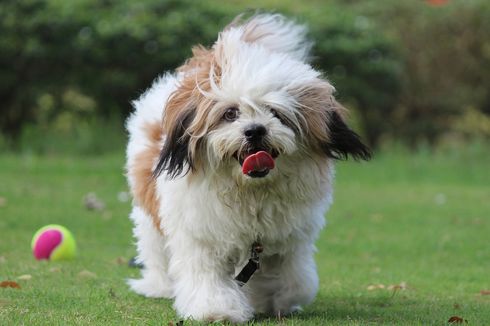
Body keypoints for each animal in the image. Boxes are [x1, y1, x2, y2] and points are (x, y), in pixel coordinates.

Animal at [124, 13, 370, 324]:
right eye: (230, 113)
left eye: (276, 113)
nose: (255, 130)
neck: (249, 191)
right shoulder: (200, 234)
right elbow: (207, 276)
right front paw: (216, 309)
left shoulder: (287, 240)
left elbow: (294, 280)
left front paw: (274, 300)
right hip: (149, 216)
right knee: (155, 249)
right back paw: (159, 286)